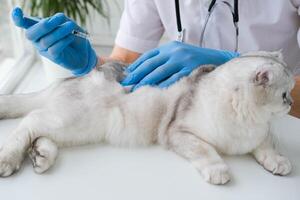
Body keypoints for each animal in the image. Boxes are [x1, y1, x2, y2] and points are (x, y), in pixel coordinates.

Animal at [0, 50, 294, 184]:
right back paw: (9, 159)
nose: (291, 103)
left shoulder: (259, 136)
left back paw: (40, 156)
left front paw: (279, 163)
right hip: (71, 119)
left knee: (39, 132)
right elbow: (206, 151)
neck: (247, 120)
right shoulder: (179, 132)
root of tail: (71, 79)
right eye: (284, 95)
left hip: (75, 129)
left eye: (291, 93)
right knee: (28, 123)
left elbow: (268, 148)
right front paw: (218, 170)